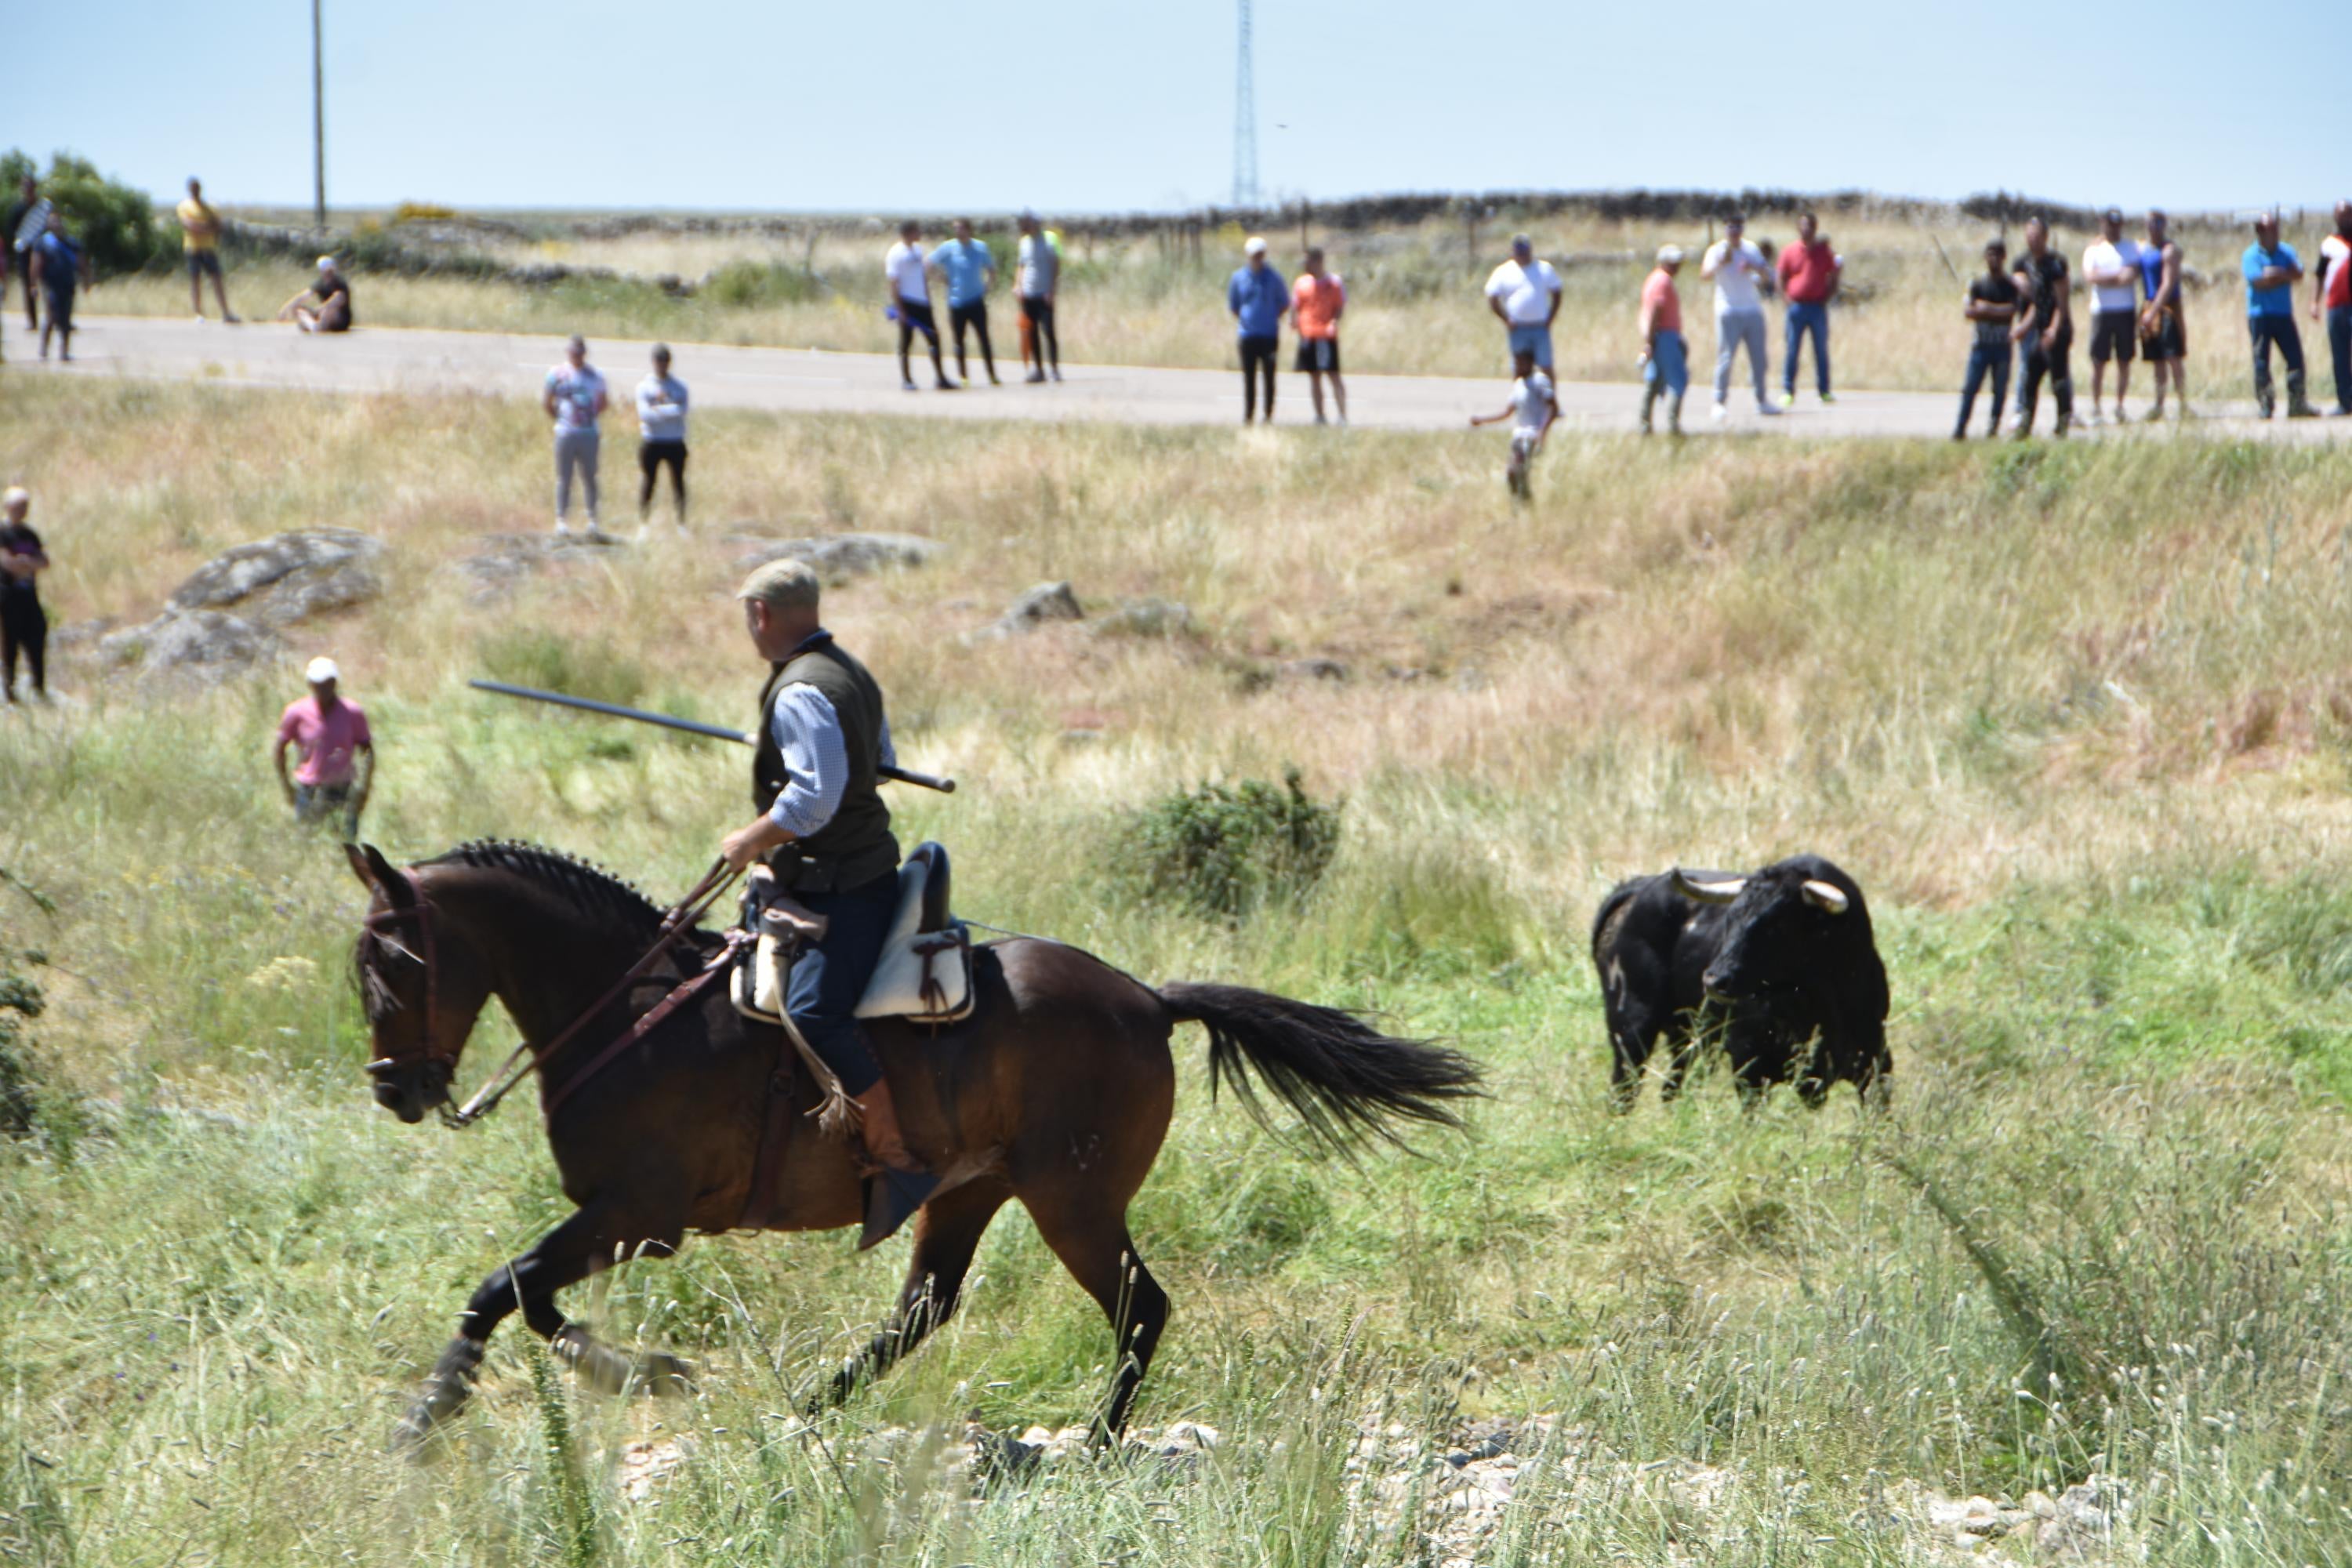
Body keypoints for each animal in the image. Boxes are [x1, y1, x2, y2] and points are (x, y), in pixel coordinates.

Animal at [341, 846, 1477, 1448]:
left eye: (393, 962)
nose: (396, 1088)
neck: (629, 1008)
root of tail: (1148, 999)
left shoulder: (638, 1215)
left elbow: (507, 1287)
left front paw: (451, 1412)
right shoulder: (626, 1221)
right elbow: (520, 1295)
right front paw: (616, 1374)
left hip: (1073, 1201)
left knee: (1139, 1307)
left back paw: (1098, 1443)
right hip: (965, 1191)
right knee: (923, 1310)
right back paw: (807, 1409)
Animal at [1581, 851, 1891, 1109]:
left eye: (1777, 925)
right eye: (1731, 918)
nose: (1714, 981)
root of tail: (1638, 887)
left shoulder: (1876, 1065)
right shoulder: (1748, 1065)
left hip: (1687, 1037)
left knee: (1670, 1088)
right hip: (1631, 1027)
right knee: (1625, 1089)